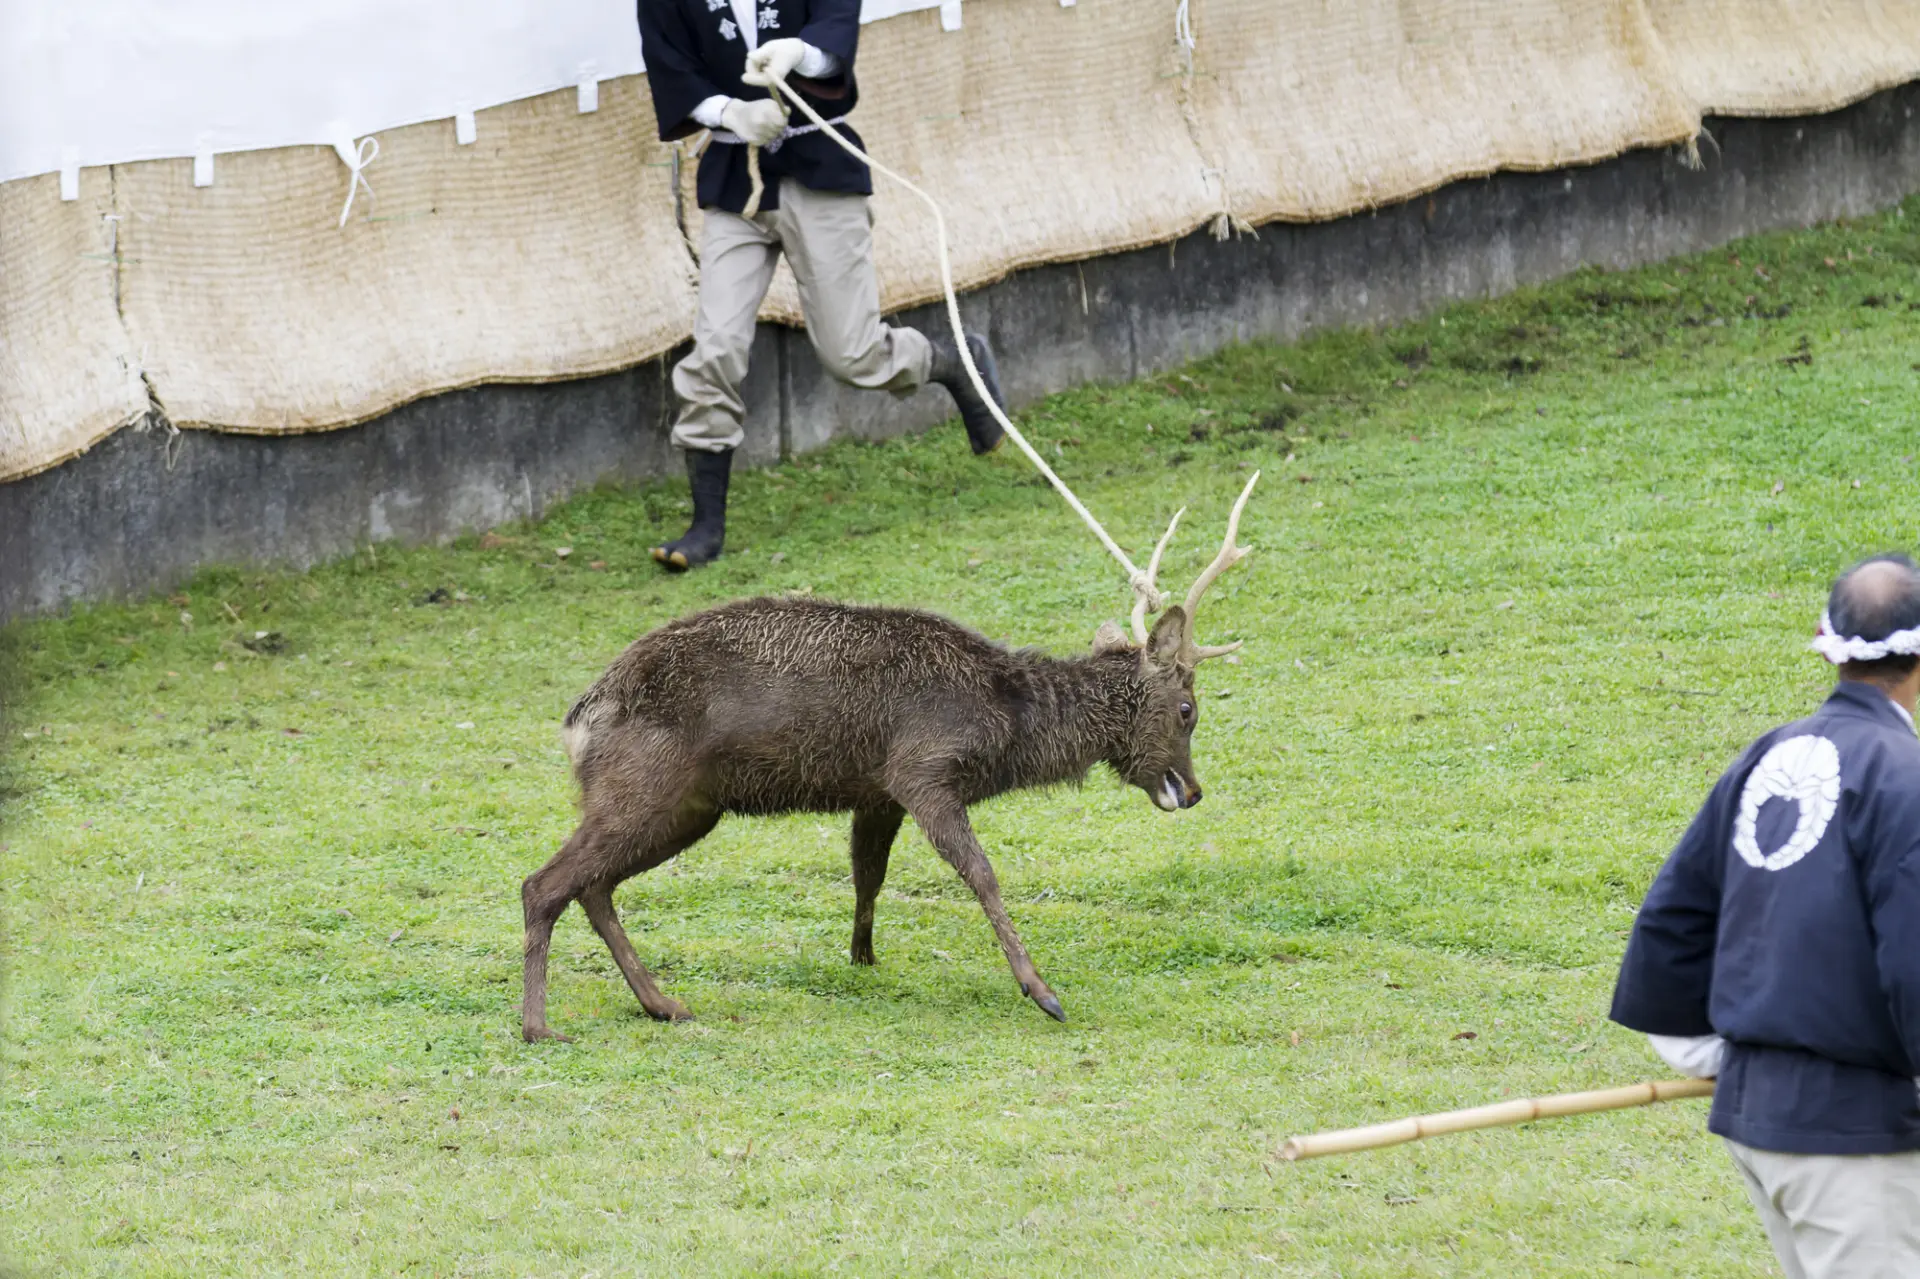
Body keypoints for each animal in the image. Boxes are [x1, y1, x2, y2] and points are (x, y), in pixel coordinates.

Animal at [518, 474, 1260, 1042]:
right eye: (1189, 710)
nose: (1192, 789)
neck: (1006, 725)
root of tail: (579, 719)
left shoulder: (875, 790)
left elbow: (867, 875)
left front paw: (862, 956)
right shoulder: (922, 768)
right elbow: (983, 874)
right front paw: (1042, 990)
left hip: (690, 808)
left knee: (594, 885)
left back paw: (663, 1002)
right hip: (644, 784)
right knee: (544, 883)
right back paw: (540, 1026)